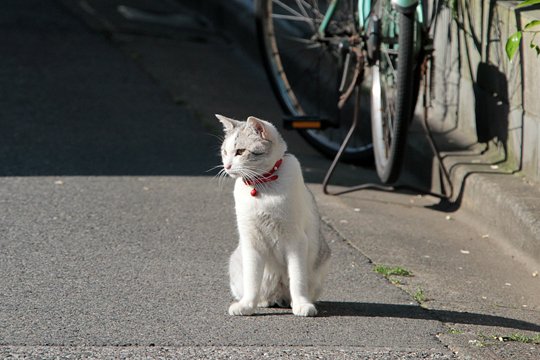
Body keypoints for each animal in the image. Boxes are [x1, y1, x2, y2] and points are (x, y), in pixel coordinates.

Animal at [215, 114, 330, 316]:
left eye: (240, 152)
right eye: (225, 152)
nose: (227, 166)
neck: (263, 187)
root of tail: (279, 297)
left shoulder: (296, 241)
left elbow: (297, 279)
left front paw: (301, 305)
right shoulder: (251, 241)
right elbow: (252, 280)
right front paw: (247, 306)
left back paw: (292, 302)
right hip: (237, 260)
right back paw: (263, 302)